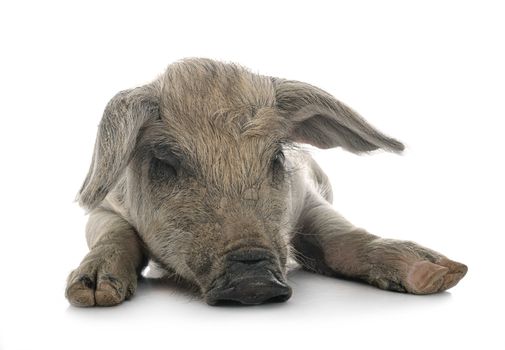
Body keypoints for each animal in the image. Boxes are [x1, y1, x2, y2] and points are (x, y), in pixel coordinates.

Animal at [65, 58, 466, 306]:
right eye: (164, 163)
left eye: (276, 157)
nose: (253, 278)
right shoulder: (104, 206)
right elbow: (115, 232)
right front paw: (93, 295)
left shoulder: (305, 193)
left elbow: (338, 233)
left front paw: (441, 273)